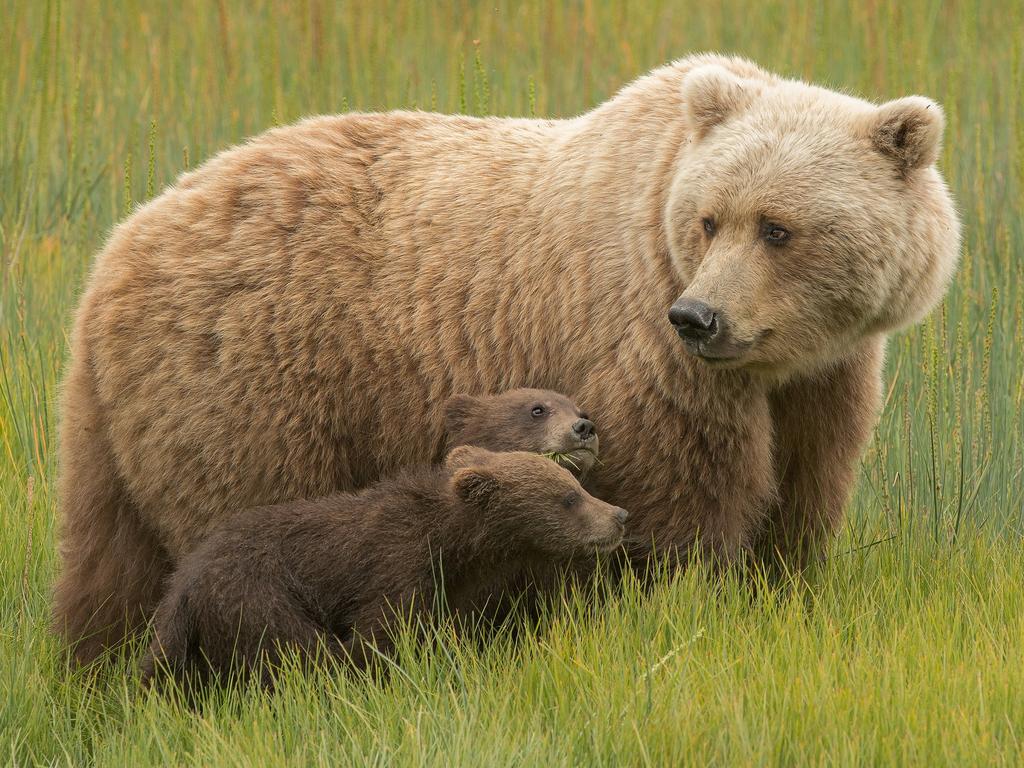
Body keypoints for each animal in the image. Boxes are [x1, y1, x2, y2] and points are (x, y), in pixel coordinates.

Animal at [54, 52, 958, 663]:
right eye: (709, 220)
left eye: (779, 227)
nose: (699, 317)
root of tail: (116, 249)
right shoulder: (647, 350)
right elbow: (682, 508)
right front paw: (688, 607)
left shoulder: (825, 382)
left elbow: (806, 495)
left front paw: (781, 592)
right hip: (256, 382)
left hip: (124, 421)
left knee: (108, 565)